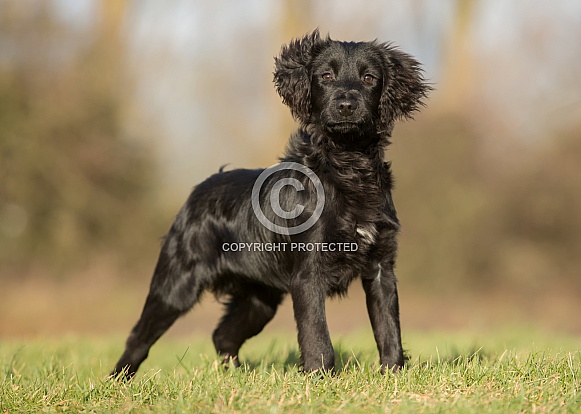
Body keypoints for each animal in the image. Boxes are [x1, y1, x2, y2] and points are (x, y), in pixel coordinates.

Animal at [111, 29, 428, 378]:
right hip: (177, 284)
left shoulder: (382, 267)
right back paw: (117, 381)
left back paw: (235, 377)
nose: (346, 105)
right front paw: (319, 377)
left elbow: (389, 329)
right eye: (326, 76)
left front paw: (393, 374)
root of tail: (199, 189)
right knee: (139, 337)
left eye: (369, 78)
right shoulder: (309, 271)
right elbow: (317, 333)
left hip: (259, 297)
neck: (347, 165)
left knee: (222, 334)